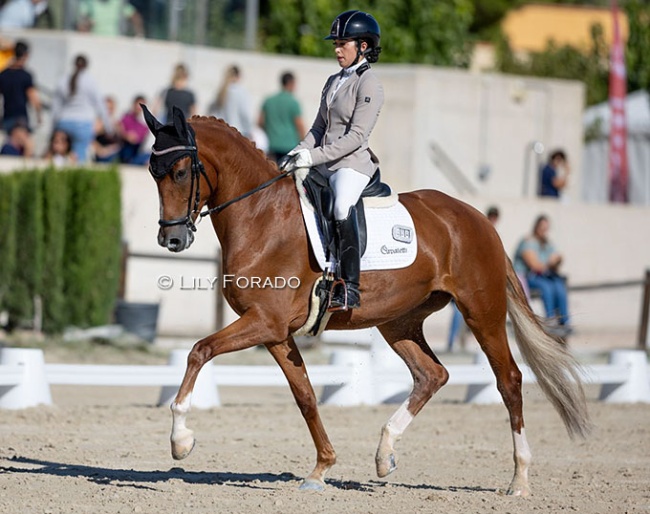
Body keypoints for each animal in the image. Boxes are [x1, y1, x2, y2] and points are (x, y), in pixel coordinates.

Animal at [142, 106, 588, 494]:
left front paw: (181, 440)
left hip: (482, 313)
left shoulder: (265, 322)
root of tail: (480, 220)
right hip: (398, 321)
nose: (172, 239)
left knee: (508, 380)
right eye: (152, 173)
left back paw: (519, 480)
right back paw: (385, 453)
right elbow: (305, 396)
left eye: (180, 172)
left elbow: (199, 351)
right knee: (432, 375)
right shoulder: (275, 331)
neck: (261, 214)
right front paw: (321, 469)